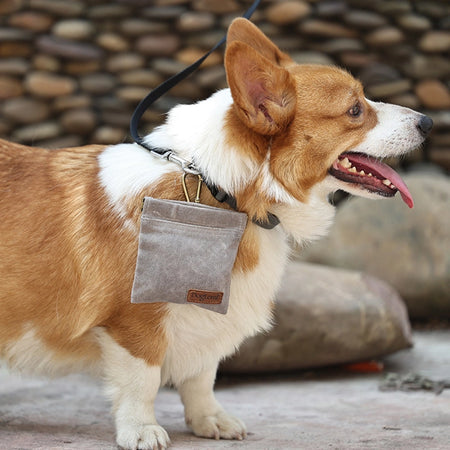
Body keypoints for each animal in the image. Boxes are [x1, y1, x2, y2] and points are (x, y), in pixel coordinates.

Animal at [0, 17, 432, 450]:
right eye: (355, 110)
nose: (428, 122)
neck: (220, 188)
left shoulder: (207, 313)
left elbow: (202, 378)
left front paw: (209, 420)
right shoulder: (134, 324)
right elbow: (141, 382)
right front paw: (141, 430)